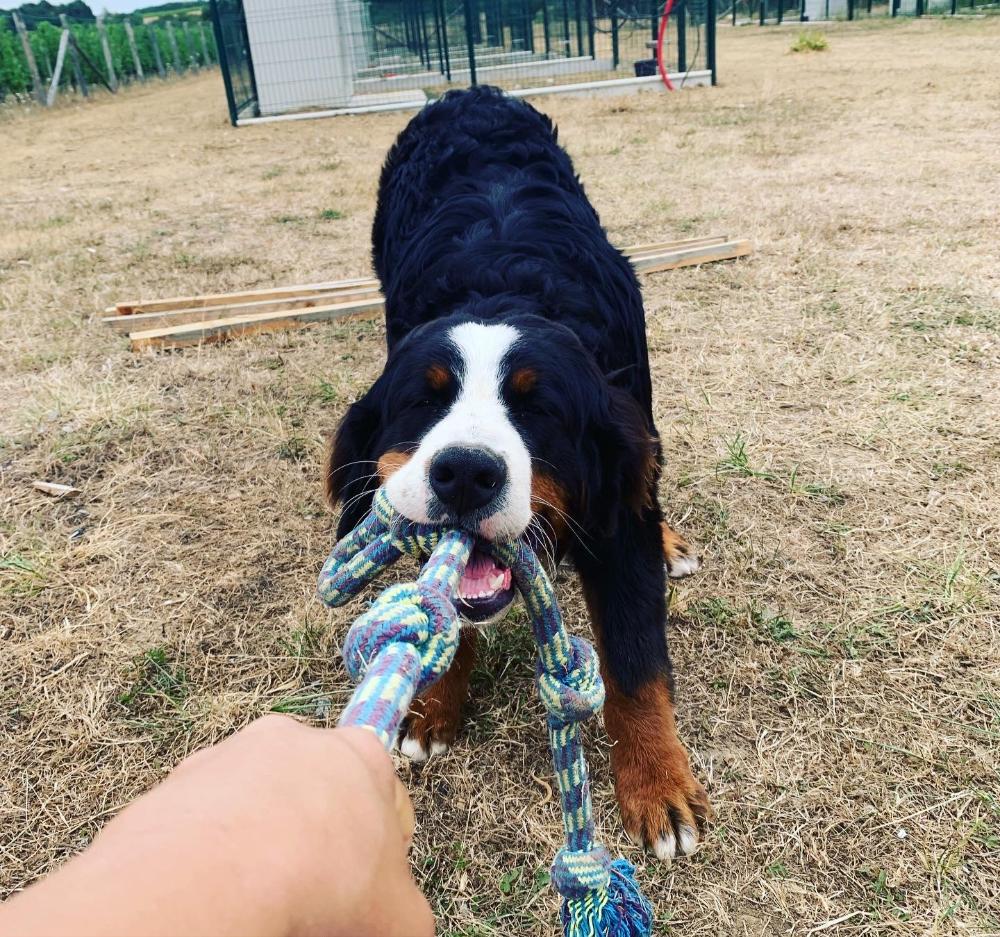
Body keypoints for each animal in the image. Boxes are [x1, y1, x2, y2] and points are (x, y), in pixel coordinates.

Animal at [328, 84, 712, 860]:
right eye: (426, 400)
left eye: (538, 409)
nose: (464, 474)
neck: (502, 285)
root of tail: (469, 92)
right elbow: (443, 610)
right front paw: (434, 706)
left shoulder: (618, 519)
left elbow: (636, 661)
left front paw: (658, 783)